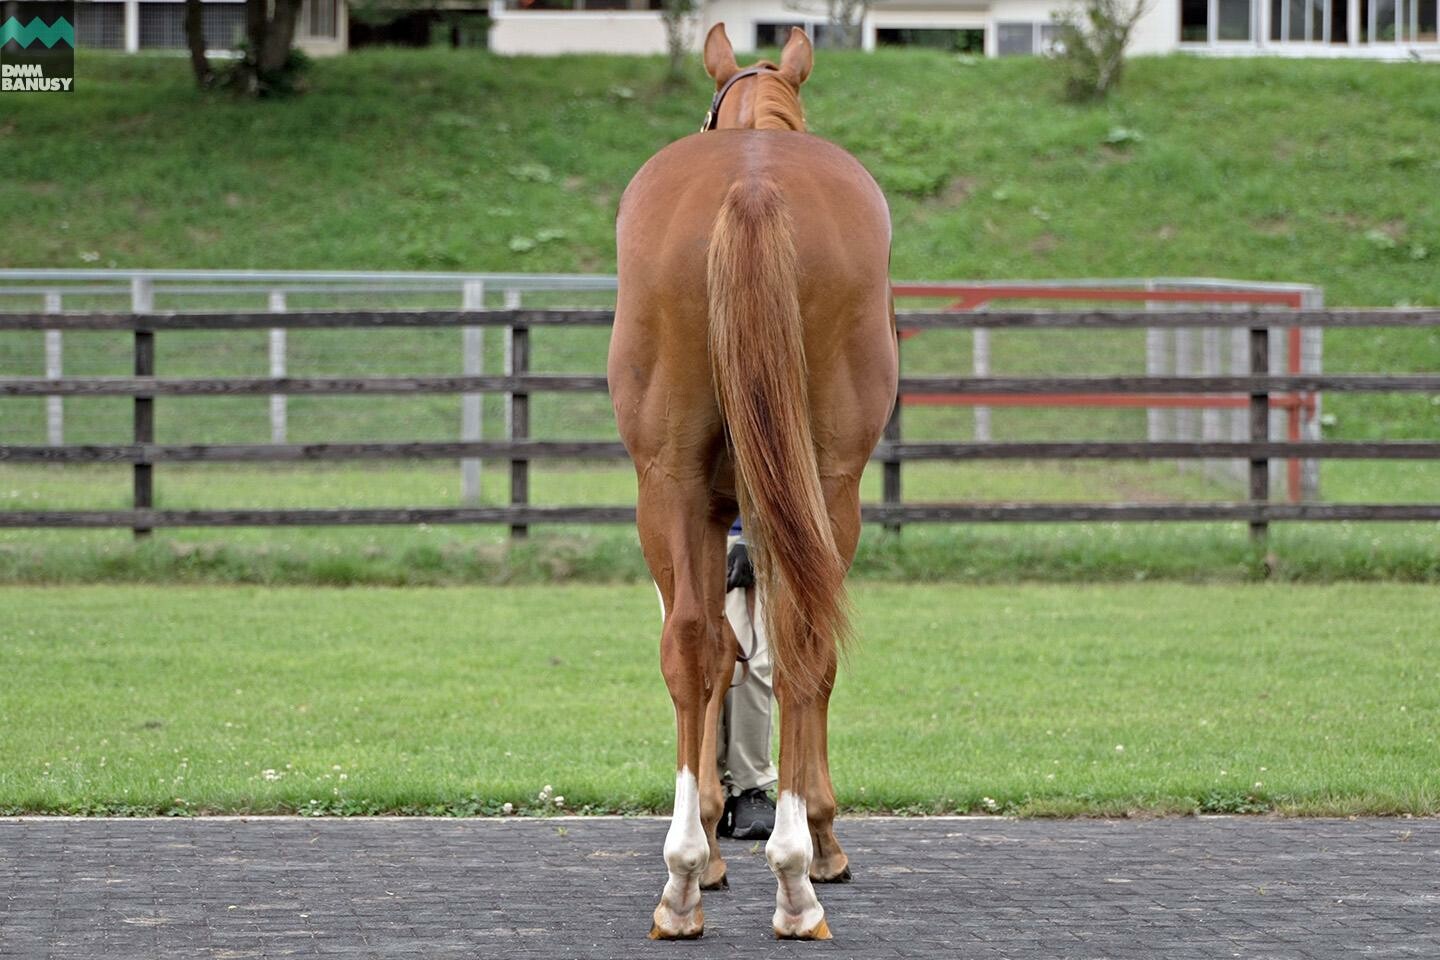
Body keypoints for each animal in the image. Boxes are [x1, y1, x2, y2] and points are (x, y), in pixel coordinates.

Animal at [607, 24, 898, 944]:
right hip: (826, 487)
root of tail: (753, 182)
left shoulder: (720, 509)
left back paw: (686, 880)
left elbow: (721, 652)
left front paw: (710, 837)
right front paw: (821, 833)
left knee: (695, 644)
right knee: (800, 642)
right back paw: (797, 872)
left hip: (669, 484)